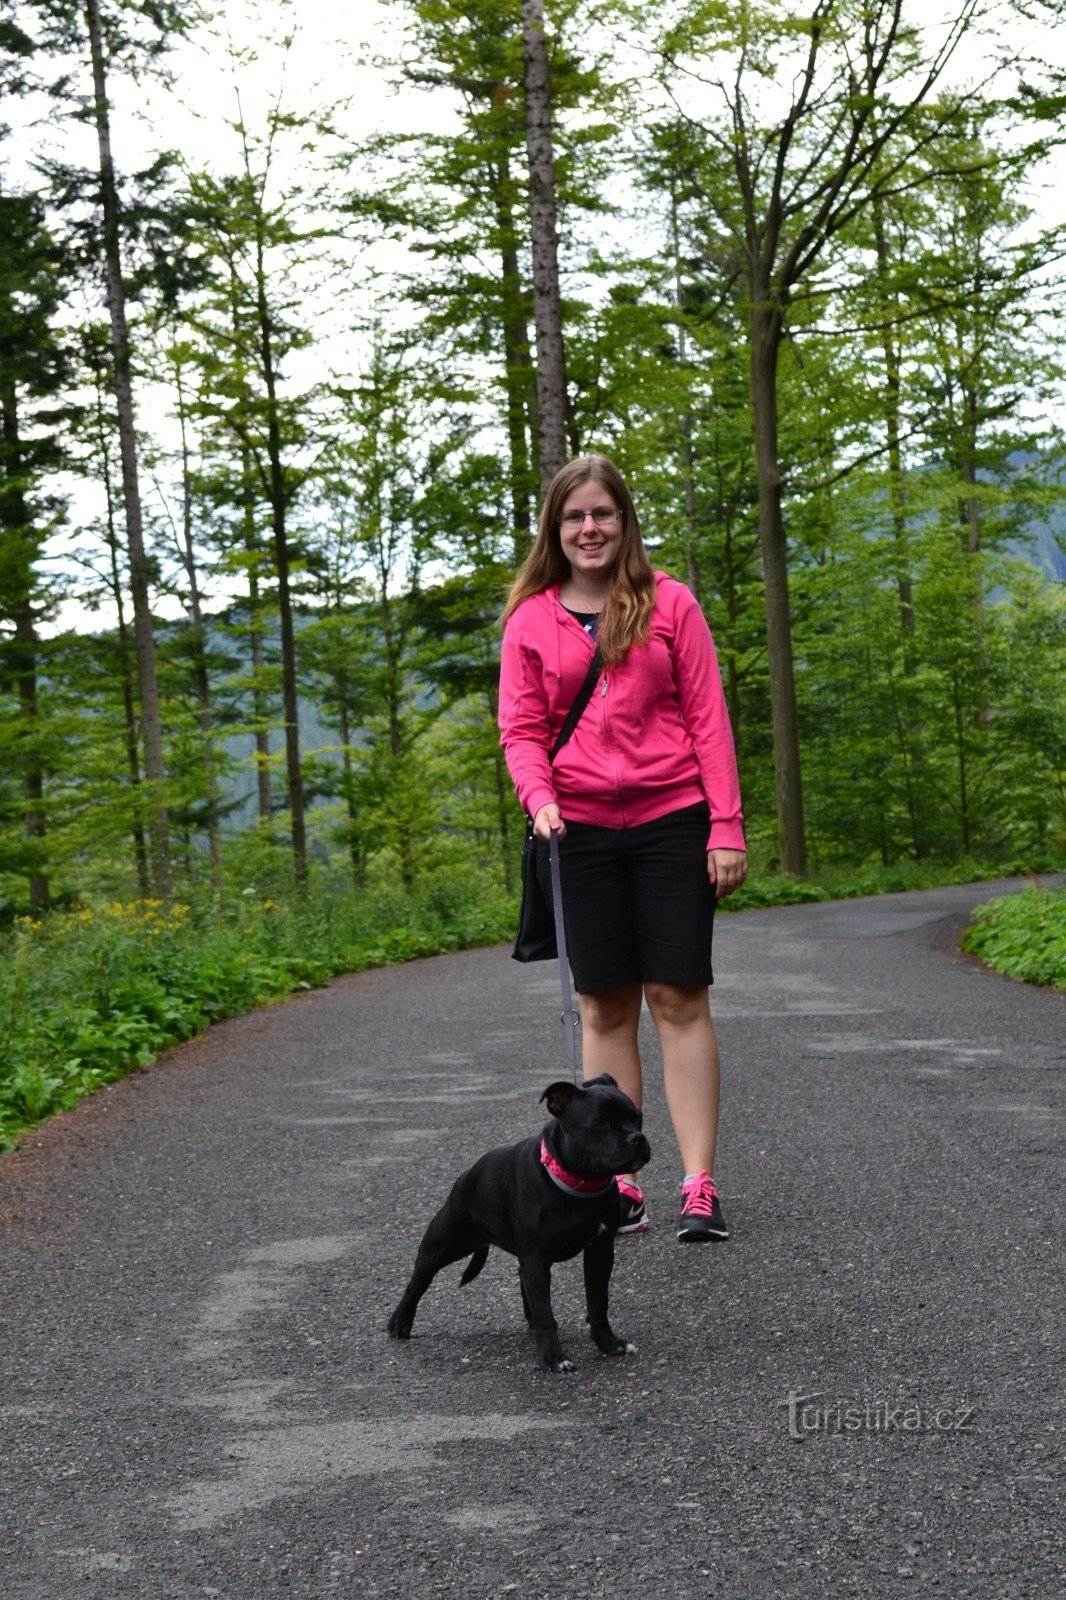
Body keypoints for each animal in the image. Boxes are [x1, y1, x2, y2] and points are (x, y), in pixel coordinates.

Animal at [384, 1068, 646, 1369]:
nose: (638, 1138)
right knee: (418, 1282)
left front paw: (609, 1343)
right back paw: (400, 1321)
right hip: (442, 1244)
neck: (578, 1182)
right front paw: (553, 1358)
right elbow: (546, 1314)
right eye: (602, 1124)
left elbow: (598, 1301)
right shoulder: (535, 1258)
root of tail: (467, 1175)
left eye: (637, 1118)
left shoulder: (599, 1251)